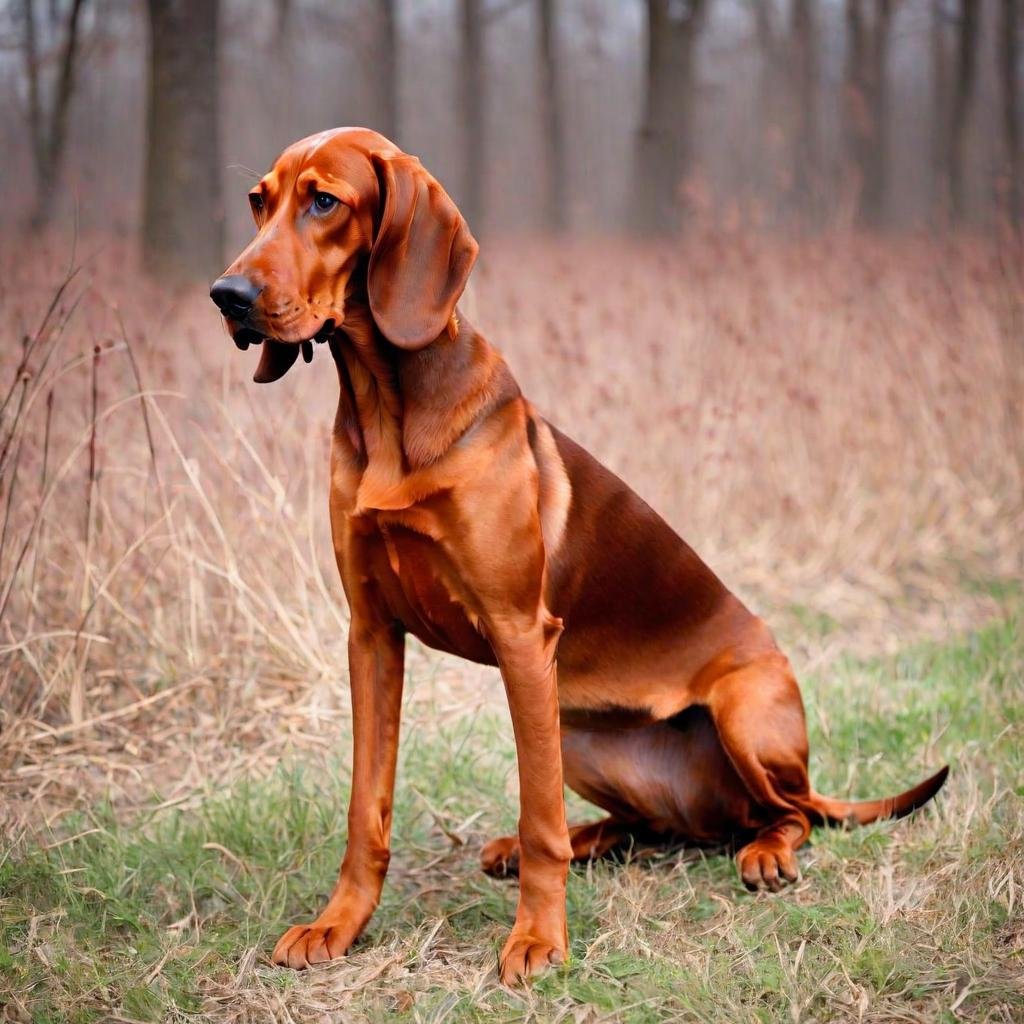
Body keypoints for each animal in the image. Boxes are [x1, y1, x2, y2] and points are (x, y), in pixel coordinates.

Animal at [209, 128, 950, 983]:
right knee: (657, 825)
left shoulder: (520, 635)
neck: (390, 409)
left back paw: (764, 852)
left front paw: (537, 938)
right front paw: (340, 923)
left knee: (791, 813)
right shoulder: (371, 635)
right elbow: (368, 807)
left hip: (737, 712)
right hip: (579, 732)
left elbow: (540, 819)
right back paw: (592, 839)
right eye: (258, 201)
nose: (225, 295)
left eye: (324, 201)